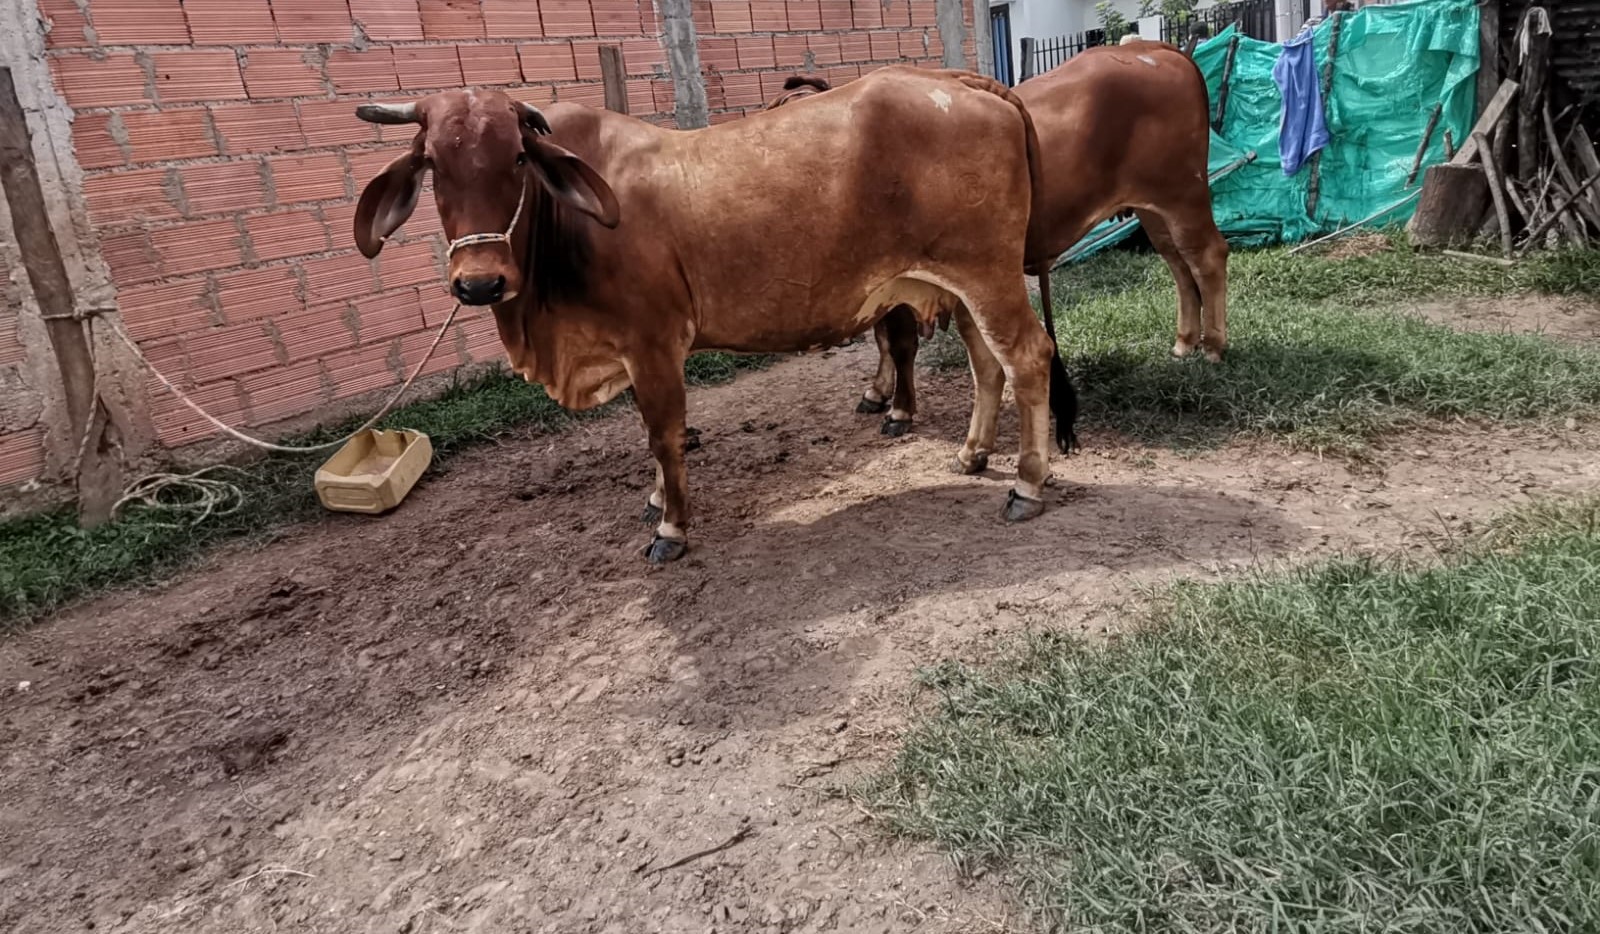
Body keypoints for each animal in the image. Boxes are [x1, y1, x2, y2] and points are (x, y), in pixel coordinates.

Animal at [351, 66, 1075, 564]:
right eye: (433, 165)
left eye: (519, 158)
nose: (479, 283)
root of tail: (959, 80)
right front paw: (654, 500)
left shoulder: (652, 344)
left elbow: (663, 436)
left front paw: (671, 525)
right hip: (959, 285)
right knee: (988, 364)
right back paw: (974, 454)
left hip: (987, 276)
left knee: (1029, 357)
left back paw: (1027, 485)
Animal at [770, 42, 1229, 437]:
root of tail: (1146, 48)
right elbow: (882, 340)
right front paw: (877, 392)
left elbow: (898, 344)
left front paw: (899, 409)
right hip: (1154, 210)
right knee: (1179, 265)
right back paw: (1185, 343)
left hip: (1183, 195)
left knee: (1207, 256)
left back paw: (1213, 347)